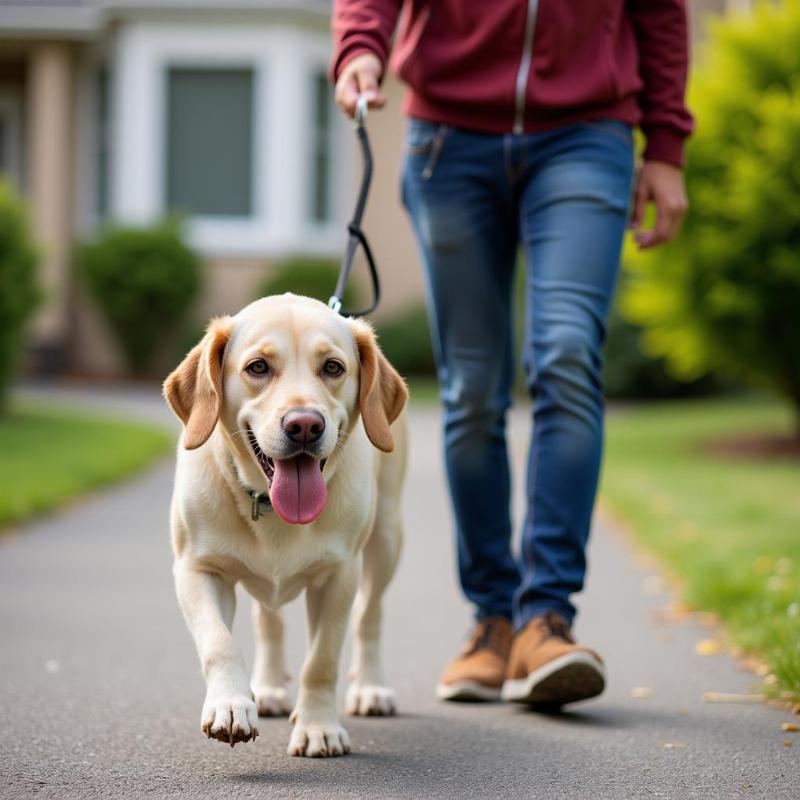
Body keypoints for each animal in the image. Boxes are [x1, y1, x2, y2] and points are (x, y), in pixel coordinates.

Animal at [165, 294, 410, 756]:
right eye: (258, 367)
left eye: (332, 367)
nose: (305, 425)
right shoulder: (197, 568)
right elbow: (220, 643)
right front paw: (231, 704)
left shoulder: (339, 576)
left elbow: (322, 661)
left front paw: (318, 727)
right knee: (269, 621)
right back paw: (267, 689)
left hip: (387, 538)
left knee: (369, 614)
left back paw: (370, 688)